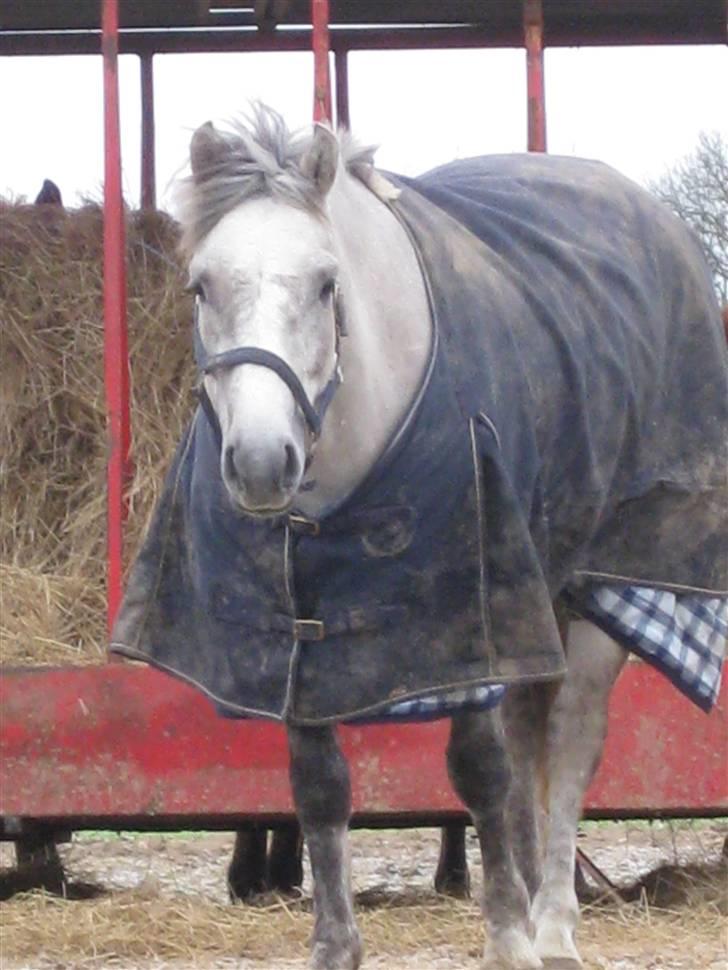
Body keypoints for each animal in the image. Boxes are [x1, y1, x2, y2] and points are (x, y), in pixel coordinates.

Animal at [112, 107, 727, 969]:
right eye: (202, 284)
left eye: (326, 282)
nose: (263, 462)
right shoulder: (303, 630)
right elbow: (320, 787)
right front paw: (335, 947)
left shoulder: (468, 615)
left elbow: (478, 770)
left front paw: (507, 937)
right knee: (530, 740)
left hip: (603, 589)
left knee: (569, 743)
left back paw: (552, 925)